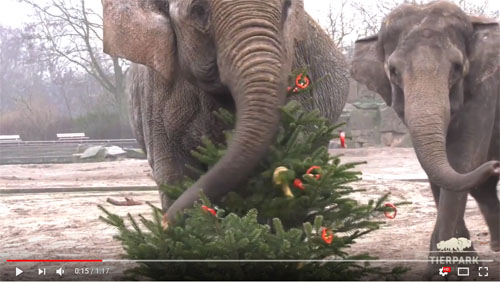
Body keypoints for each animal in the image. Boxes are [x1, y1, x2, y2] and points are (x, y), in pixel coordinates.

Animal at [352, 0, 500, 274]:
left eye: (457, 68)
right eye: (393, 71)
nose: (496, 164)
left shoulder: (485, 91)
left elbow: (462, 161)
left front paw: (447, 272)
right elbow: (442, 171)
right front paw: (452, 268)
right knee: (481, 187)